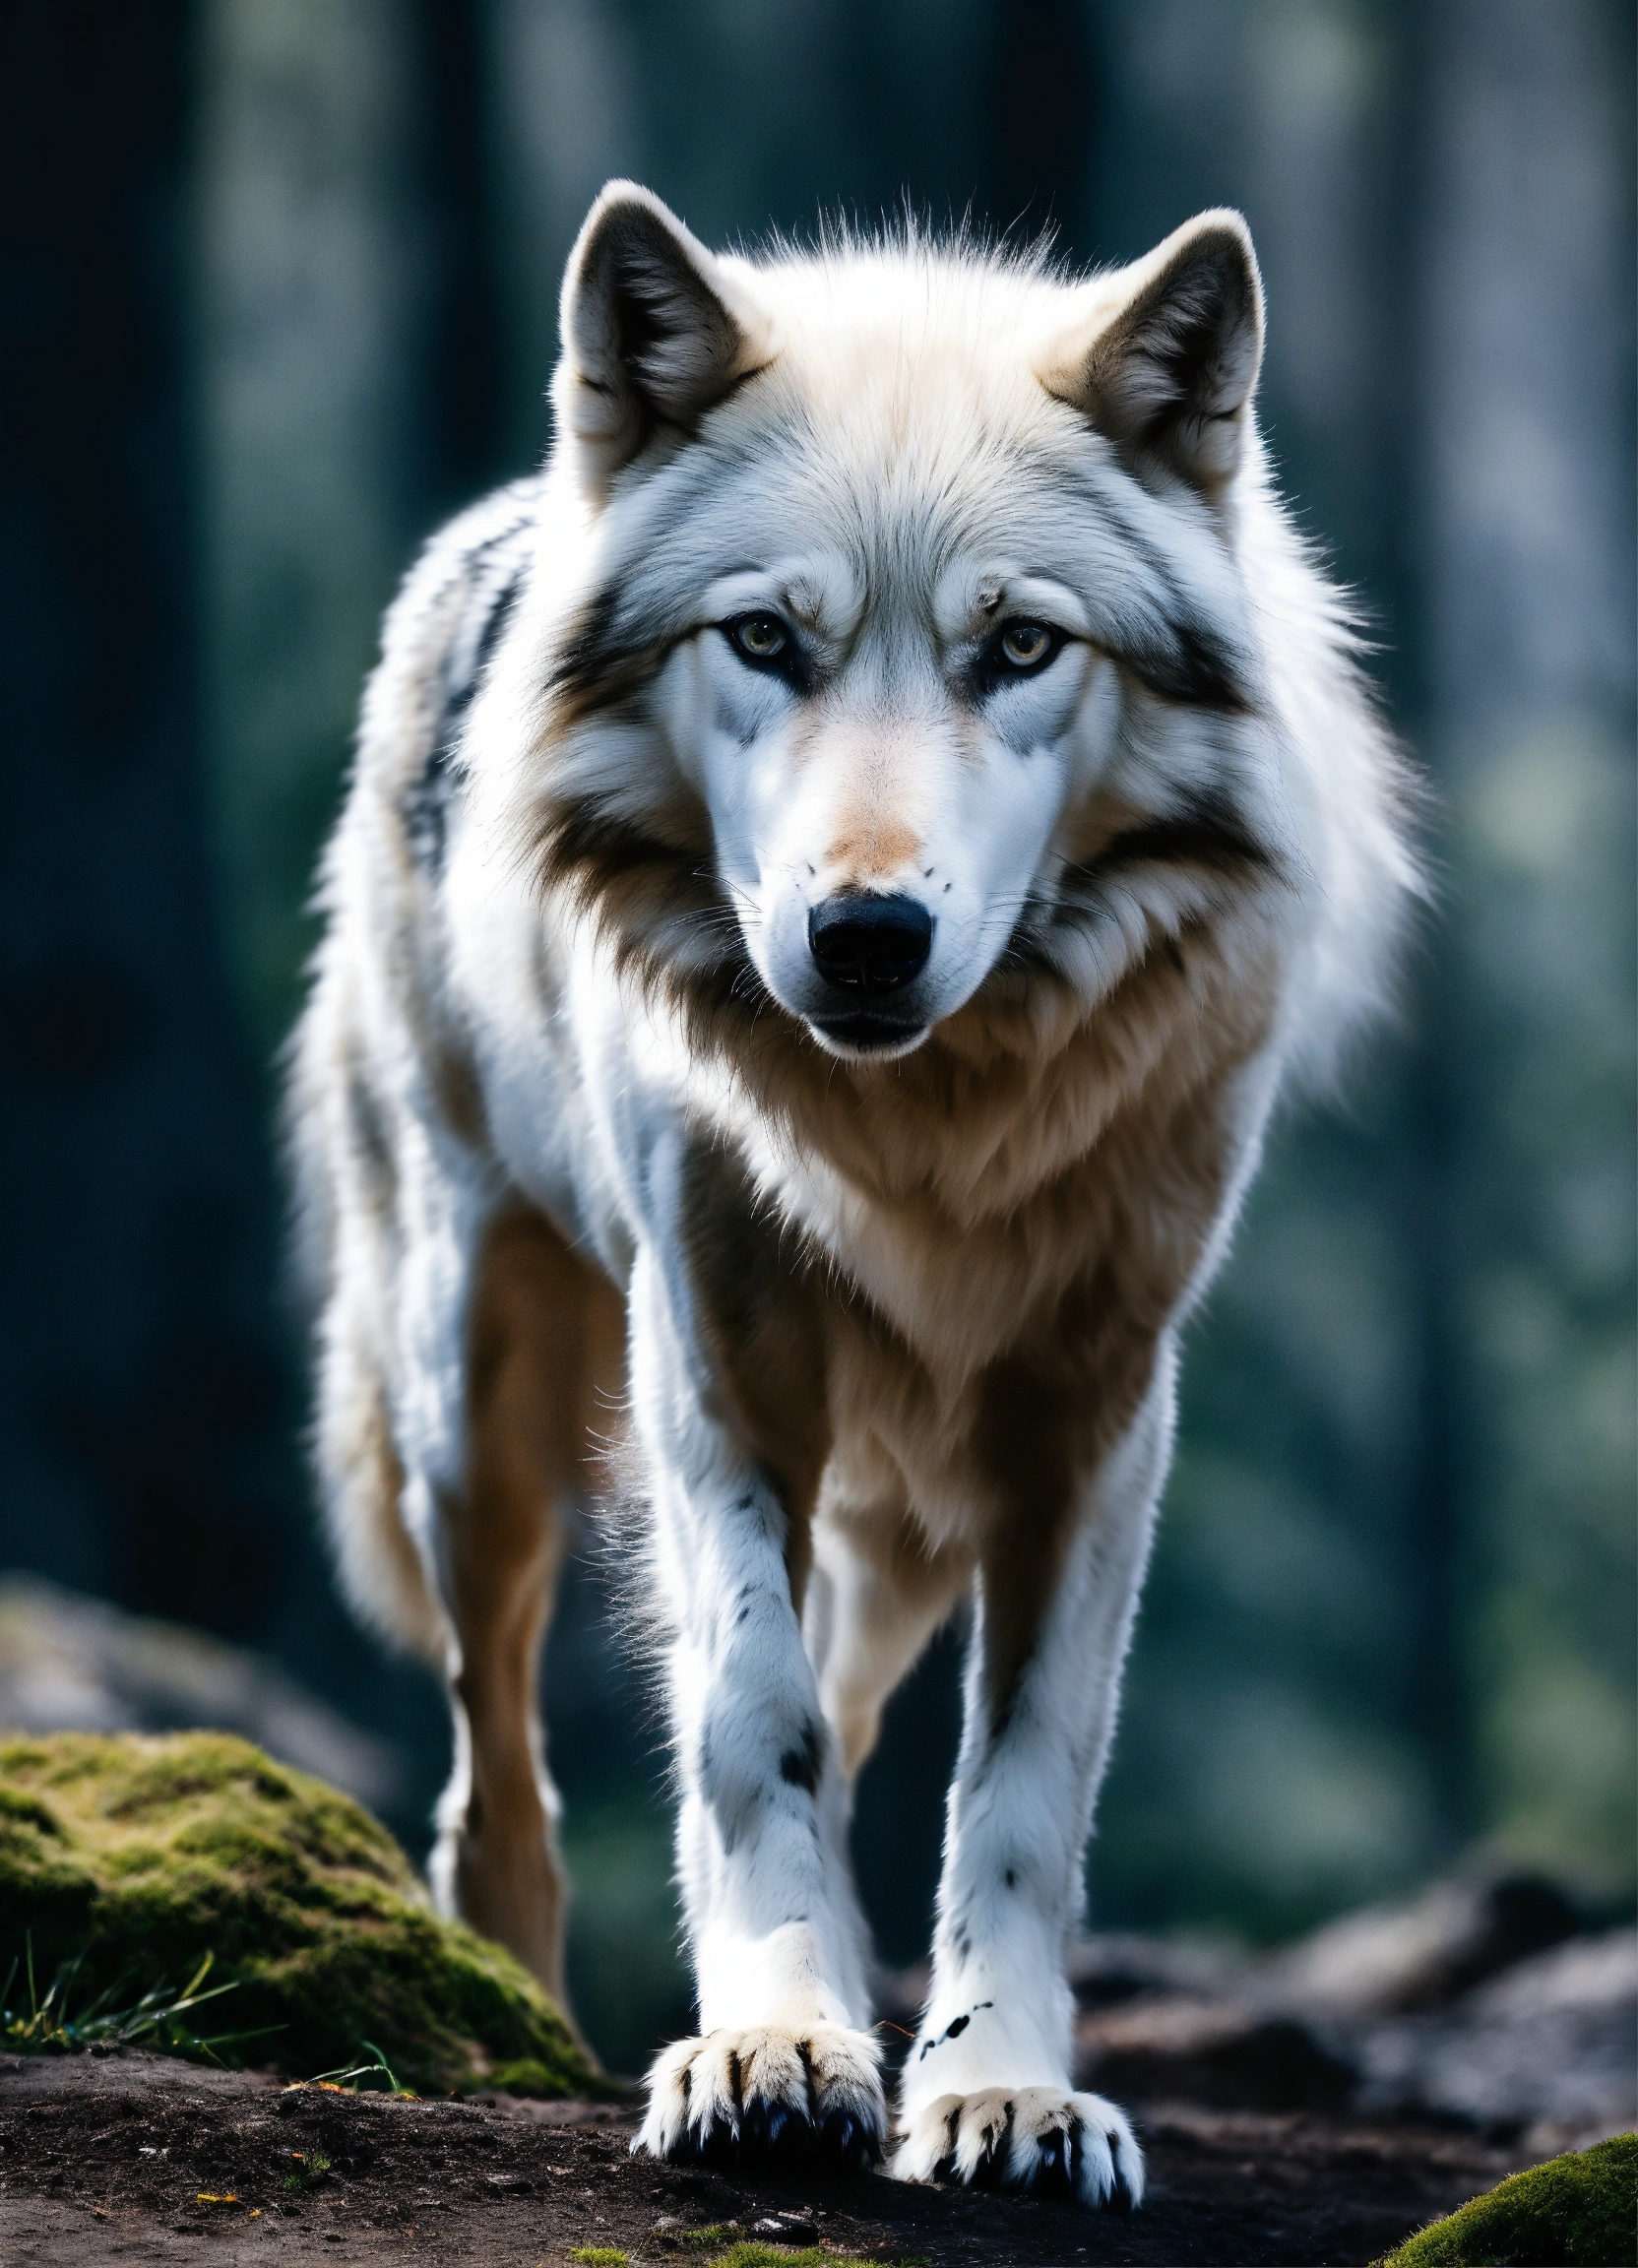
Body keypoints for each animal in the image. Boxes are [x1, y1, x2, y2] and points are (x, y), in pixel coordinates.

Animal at [288, 181, 1417, 2207]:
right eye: (762, 639)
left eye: (1020, 650)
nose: (867, 935)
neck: (922, 1136)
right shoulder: (708, 1366)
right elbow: (747, 1717)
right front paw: (769, 2050)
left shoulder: (1094, 1416)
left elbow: (1019, 1784)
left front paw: (1001, 2087)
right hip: (467, 1409)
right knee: (498, 1753)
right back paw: (507, 2001)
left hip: (885, 1527)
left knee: (842, 1679)